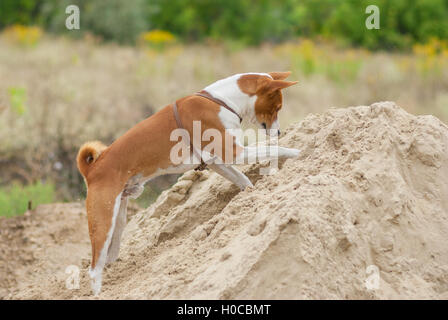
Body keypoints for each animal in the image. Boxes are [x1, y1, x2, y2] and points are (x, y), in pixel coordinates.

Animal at [77, 71, 300, 294]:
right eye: (277, 107)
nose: (279, 132)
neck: (222, 100)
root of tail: (93, 168)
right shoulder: (234, 152)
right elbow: (273, 148)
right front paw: (294, 152)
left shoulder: (216, 161)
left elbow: (243, 179)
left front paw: (253, 195)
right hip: (103, 221)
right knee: (94, 269)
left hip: (118, 218)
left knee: (108, 257)